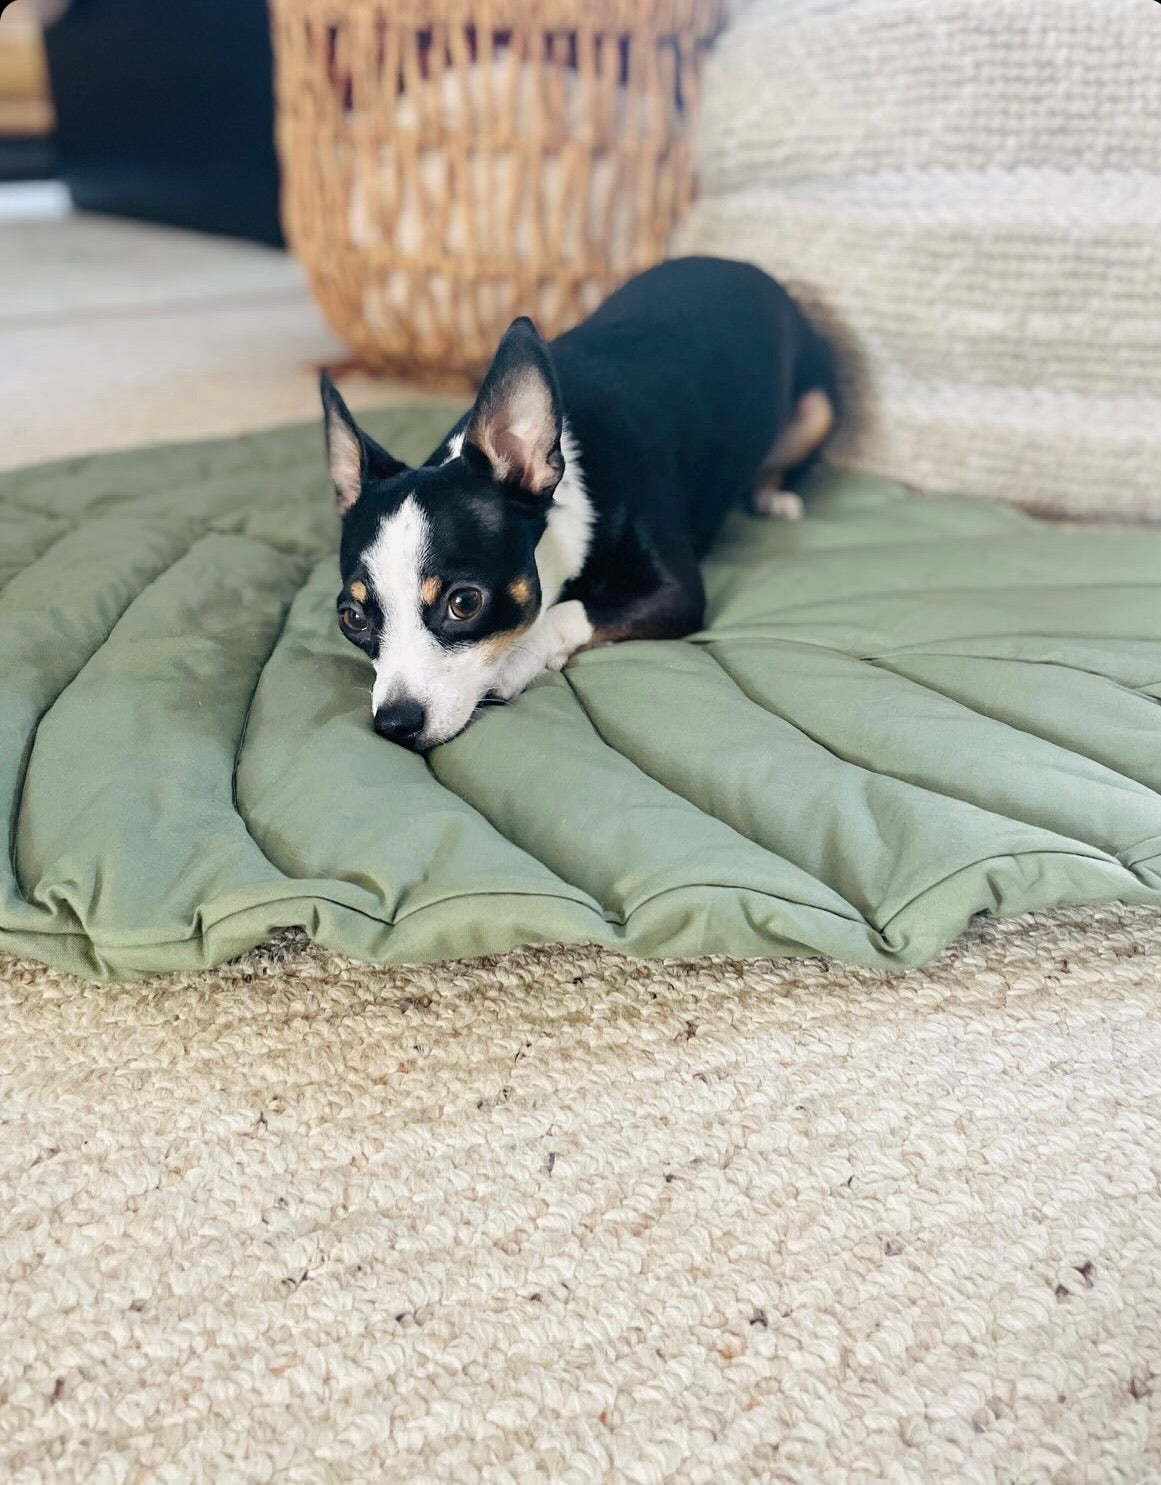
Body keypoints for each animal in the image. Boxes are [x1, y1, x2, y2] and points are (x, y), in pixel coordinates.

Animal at [322, 252, 843, 754]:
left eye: (465, 603)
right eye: (352, 619)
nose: (394, 723)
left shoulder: (677, 595)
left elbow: (568, 610)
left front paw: (513, 662)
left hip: (818, 408)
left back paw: (773, 495)